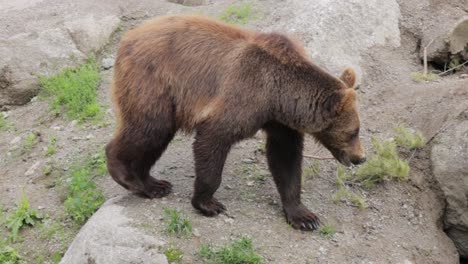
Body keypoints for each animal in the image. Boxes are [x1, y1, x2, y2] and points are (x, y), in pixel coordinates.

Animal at [106, 15, 366, 231]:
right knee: (149, 129)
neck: (279, 95)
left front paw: (304, 216)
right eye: (353, 132)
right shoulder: (244, 93)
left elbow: (286, 160)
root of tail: (128, 36)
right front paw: (208, 203)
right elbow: (213, 139)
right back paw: (128, 178)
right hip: (152, 82)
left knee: (155, 139)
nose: (360, 157)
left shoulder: (280, 122)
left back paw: (154, 184)